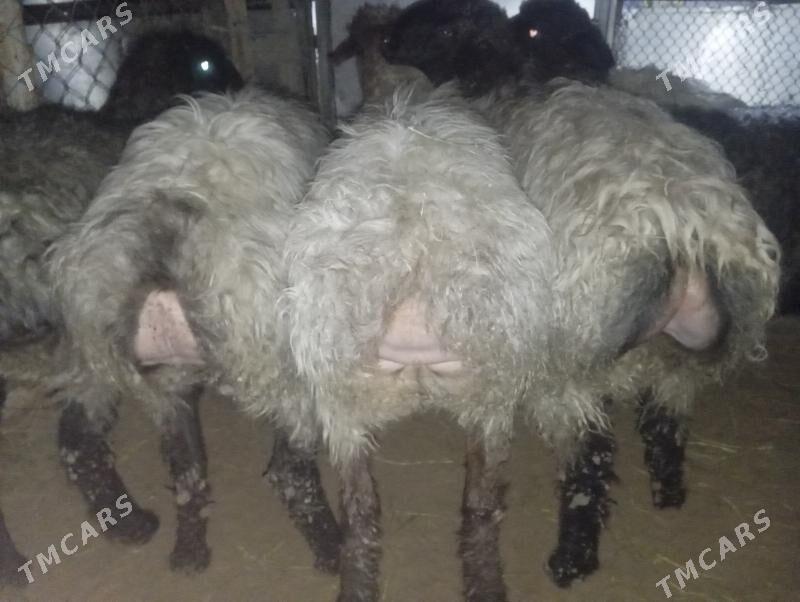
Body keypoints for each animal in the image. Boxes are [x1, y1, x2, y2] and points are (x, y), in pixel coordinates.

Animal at [47, 87, 332, 574]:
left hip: (120, 360)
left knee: (157, 459)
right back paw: (334, 548)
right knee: (287, 473)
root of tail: (163, 232)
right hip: (272, 369)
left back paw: (167, 541)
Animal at [384, 0, 779, 587]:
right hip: (680, 357)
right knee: (667, 422)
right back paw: (668, 492)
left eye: (443, 24)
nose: (385, 41)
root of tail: (682, 228)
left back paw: (572, 557)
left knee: (590, 458)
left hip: (571, 359)